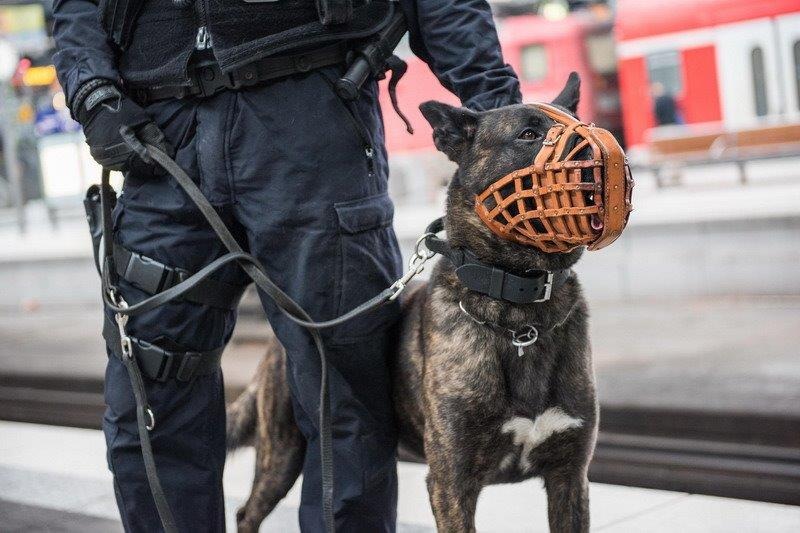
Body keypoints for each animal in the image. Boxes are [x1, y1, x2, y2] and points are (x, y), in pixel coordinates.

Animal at [225, 72, 592, 528]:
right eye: (528, 134)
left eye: (586, 125)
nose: (594, 152)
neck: (520, 314)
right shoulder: (451, 483)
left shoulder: (568, 477)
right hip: (284, 451)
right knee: (247, 512)